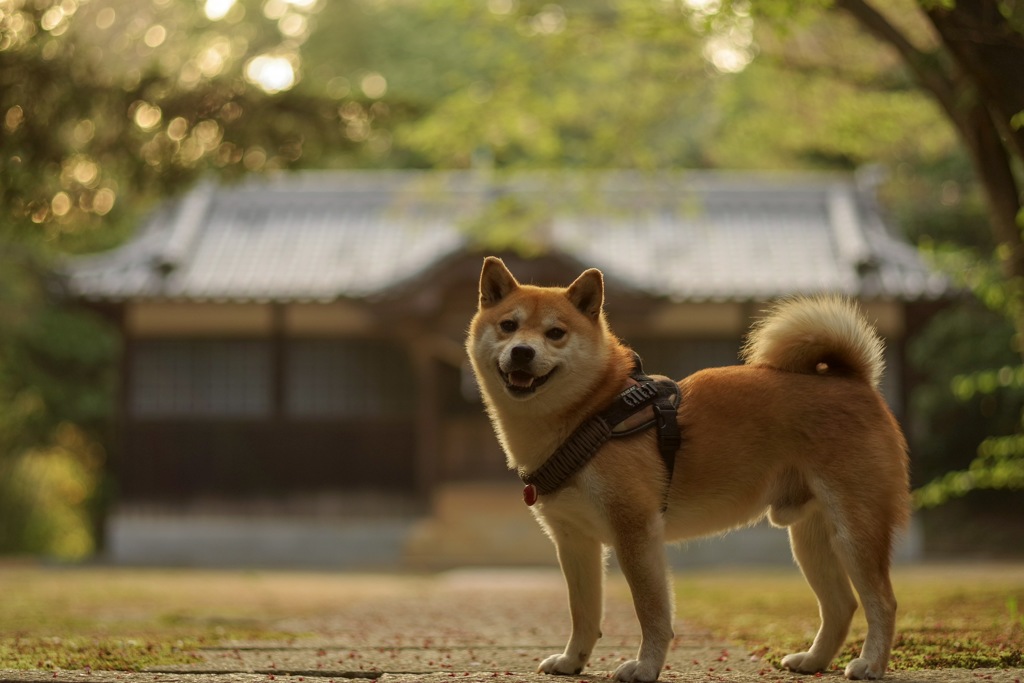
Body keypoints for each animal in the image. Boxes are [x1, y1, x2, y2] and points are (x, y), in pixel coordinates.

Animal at [468, 258, 909, 683]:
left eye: (555, 333)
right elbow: (584, 613)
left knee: (882, 602)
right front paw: (572, 661)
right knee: (841, 605)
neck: (592, 410)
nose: (522, 352)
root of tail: (855, 381)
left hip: (855, 530)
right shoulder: (575, 541)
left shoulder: (635, 531)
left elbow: (651, 611)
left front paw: (645, 667)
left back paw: (870, 664)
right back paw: (813, 660)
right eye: (508, 326)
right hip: (809, 539)